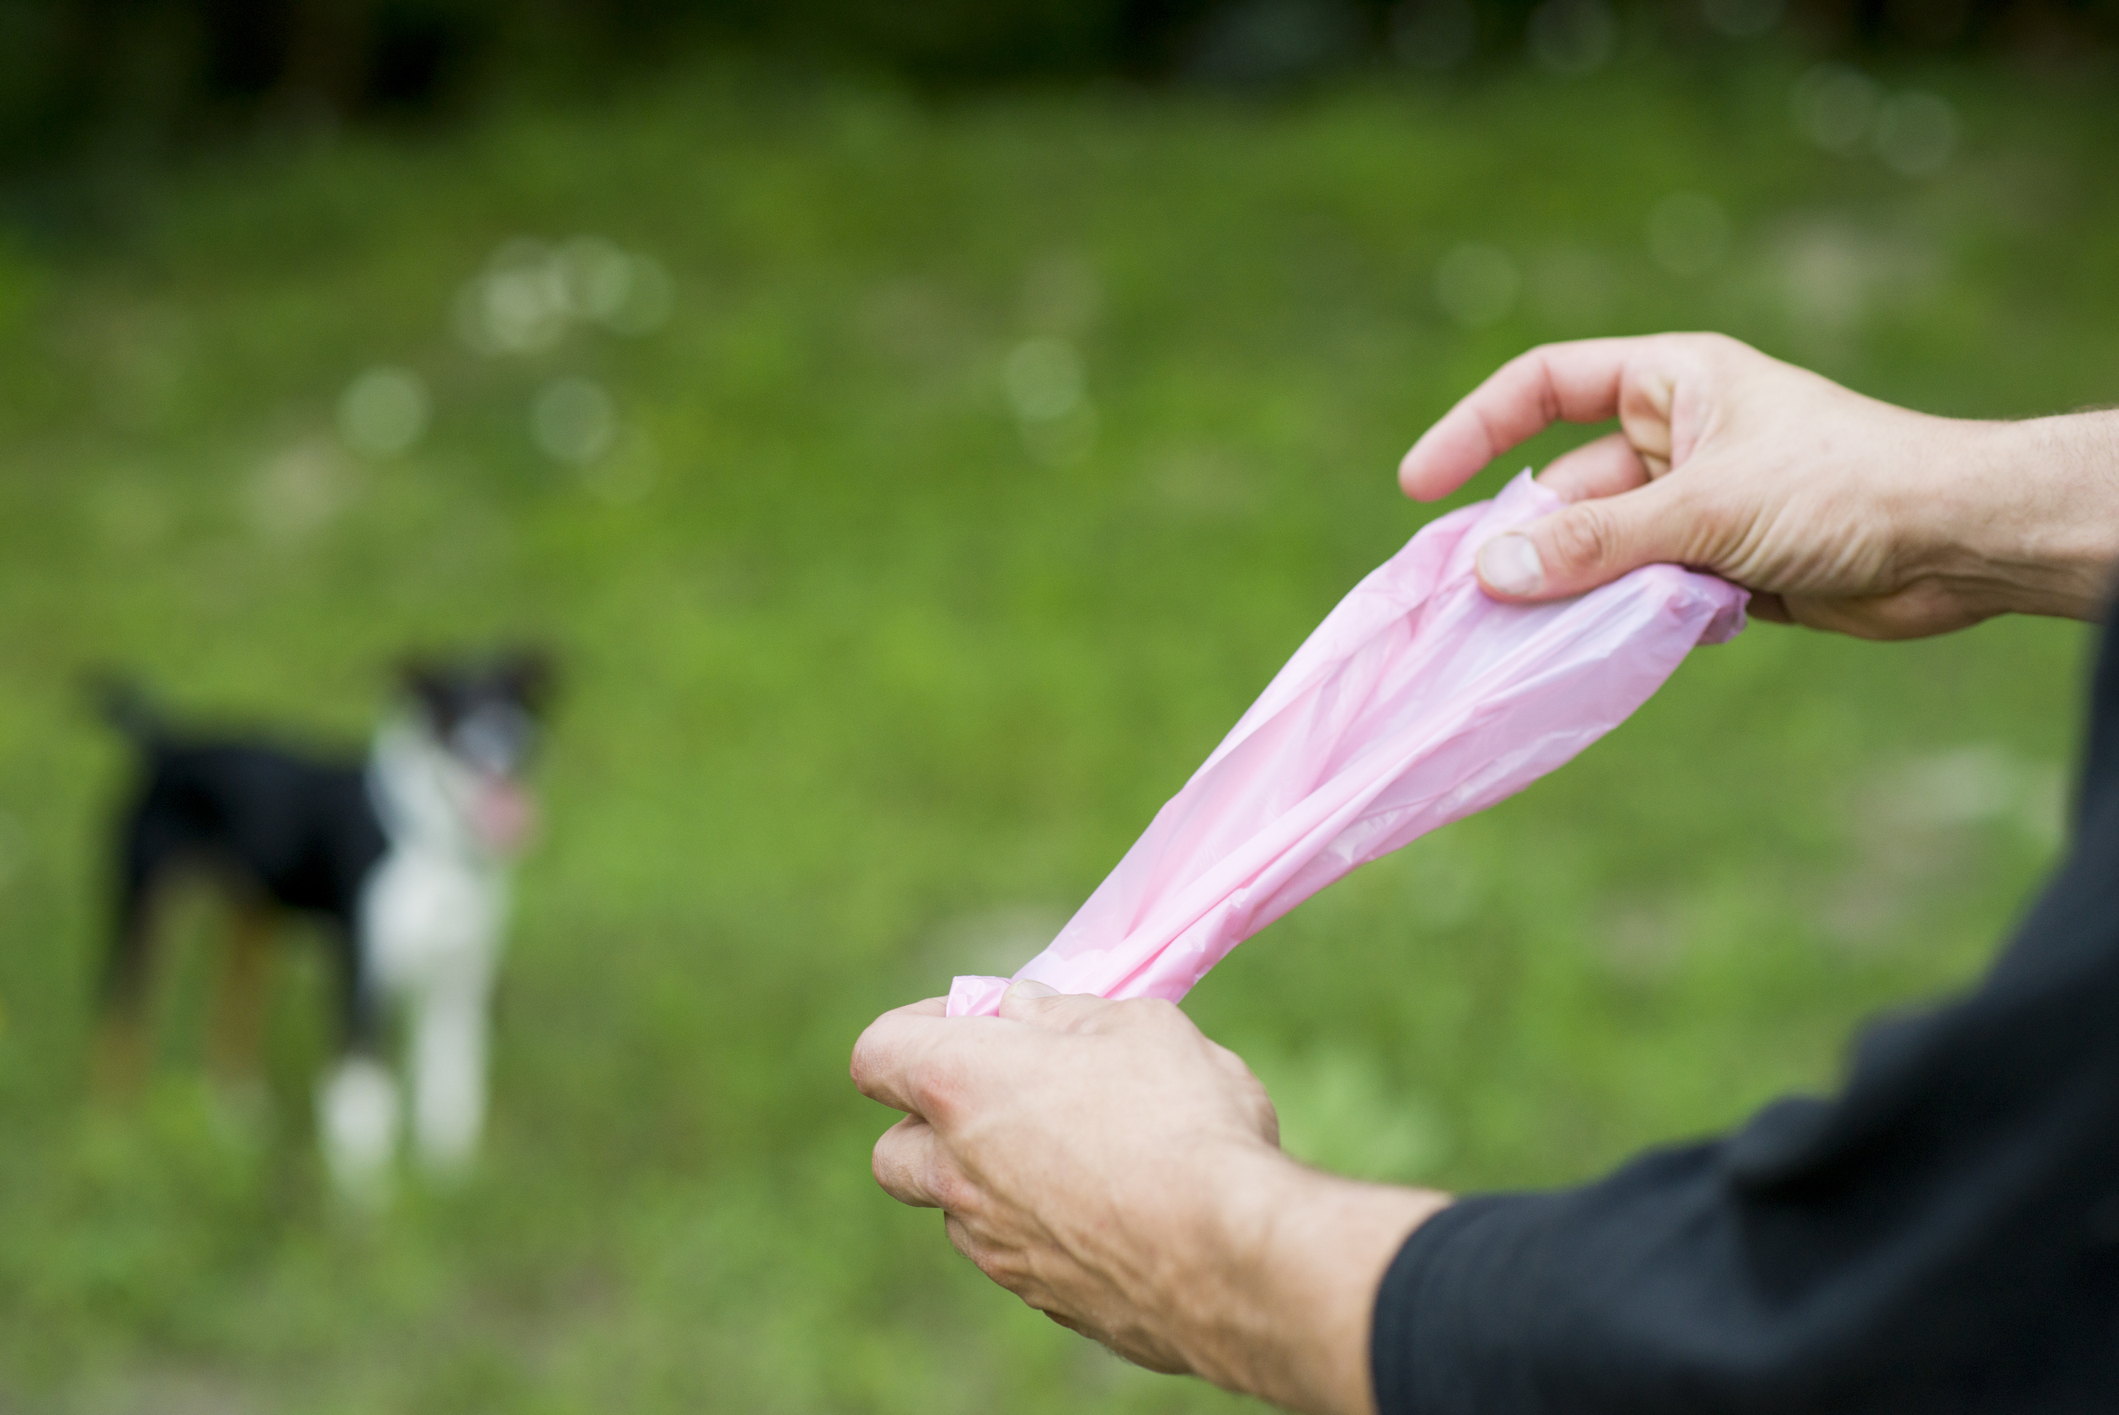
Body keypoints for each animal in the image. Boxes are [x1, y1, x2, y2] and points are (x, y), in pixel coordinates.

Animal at [96, 648, 555, 1194]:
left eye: (517, 701)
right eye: (454, 706)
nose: (510, 741)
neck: (432, 848)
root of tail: (167, 746)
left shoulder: (459, 984)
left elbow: (451, 1091)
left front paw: (449, 1183)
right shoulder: (362, 984)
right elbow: (364, 1103)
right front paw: (364, 1199)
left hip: (253, 925)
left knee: (227, 1011)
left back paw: (238, 1119)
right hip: (145, 915)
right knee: (119, 1025)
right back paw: (114, 1139)